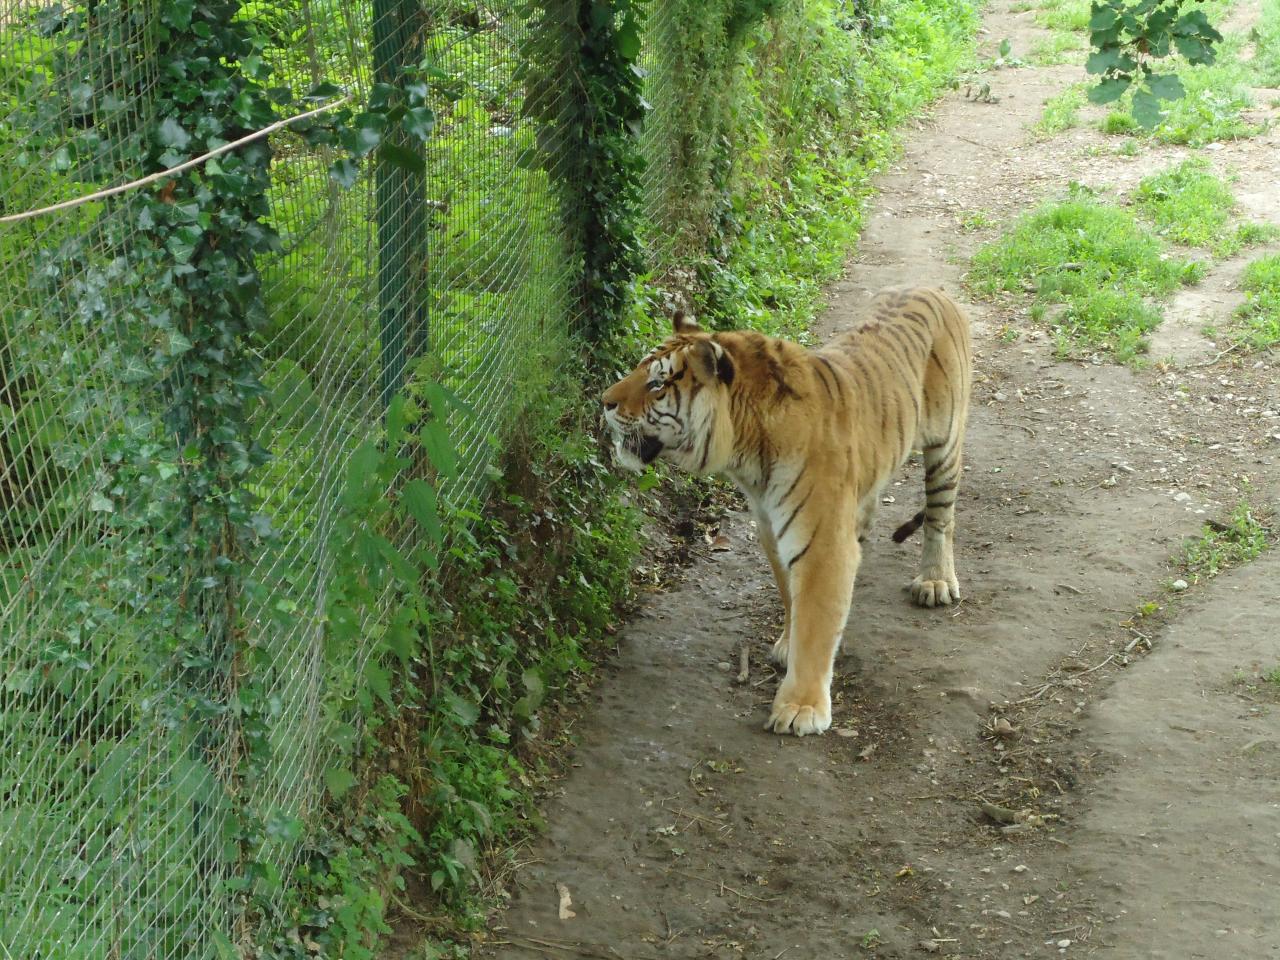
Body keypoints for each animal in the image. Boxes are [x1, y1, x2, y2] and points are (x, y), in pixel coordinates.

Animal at [599, 285, 967, 737]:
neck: (744, 449)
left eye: (656, 383)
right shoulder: (771, 528)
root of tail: (932, 288)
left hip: (945, 444)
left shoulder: (821, 543)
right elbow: (792, 599)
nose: (604, 402)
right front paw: (788, 647)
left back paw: (935, 581)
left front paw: (800, 707)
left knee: (940, 516)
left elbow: (814, 618)